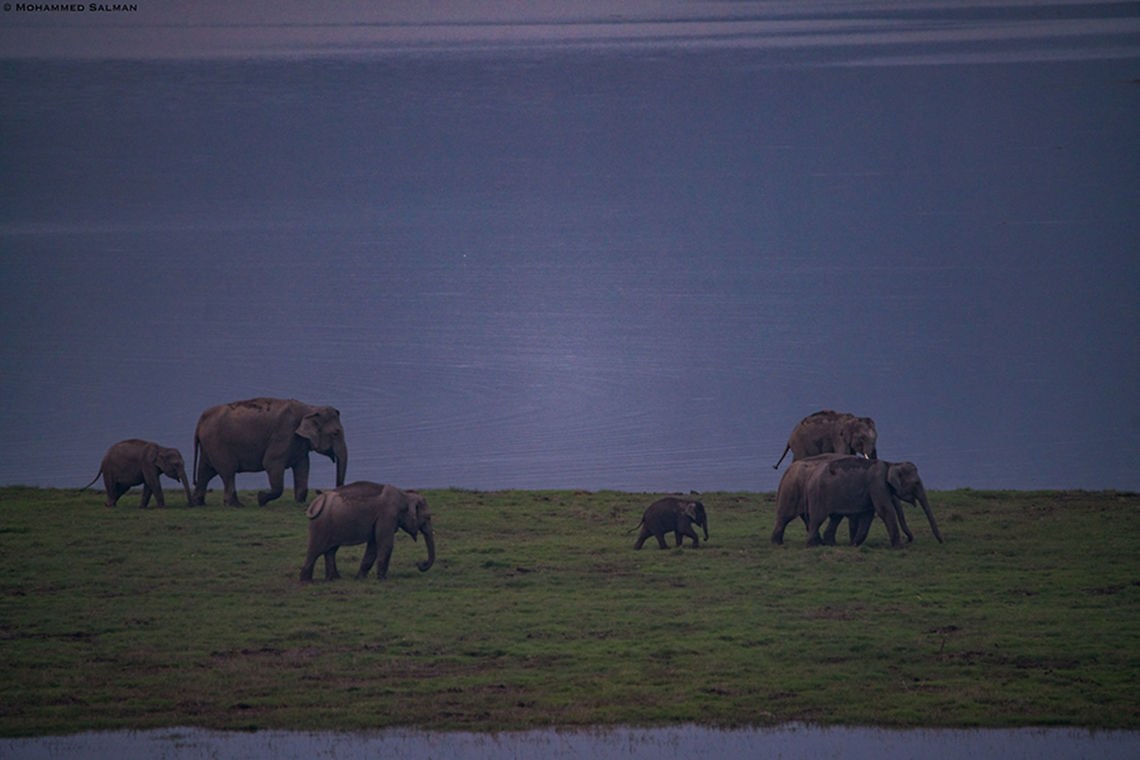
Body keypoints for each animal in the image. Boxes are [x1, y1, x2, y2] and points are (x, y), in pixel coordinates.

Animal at [192, 397, 347, 508]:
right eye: (336, 433)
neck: (310, 408)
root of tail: (200, 421)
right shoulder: (283, 435)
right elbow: (271, 464)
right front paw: (261, 499)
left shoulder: (299, 443)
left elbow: (303, 466)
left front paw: (300, 503)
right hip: (217, 444)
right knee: (228, 471)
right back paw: (236, 505)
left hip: (208, 446)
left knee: (205, 471)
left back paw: (199, 503)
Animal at [300, 482, 435, 581]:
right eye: (428, 517)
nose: (419, 563)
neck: (404, 495)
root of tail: (315, 503)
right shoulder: (387, 516)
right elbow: (385, 544)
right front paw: (383, 579)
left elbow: (374, 546)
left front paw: (359, 578)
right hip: (320, 525)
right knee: (315, 550)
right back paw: (307, 581)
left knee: (331, 550)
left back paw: (334, 579)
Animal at [771, 454, 942, 548]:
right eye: (916, 483)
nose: (941, 541)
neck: (890, 464)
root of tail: (786, 471)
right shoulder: (877, 484)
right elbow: (884, 510)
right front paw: (899, 547)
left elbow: (867, 514)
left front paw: (854, 544)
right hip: (803, 493)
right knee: (808, 518)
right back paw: (804, 544)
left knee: (827, 517)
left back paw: (824, 543)